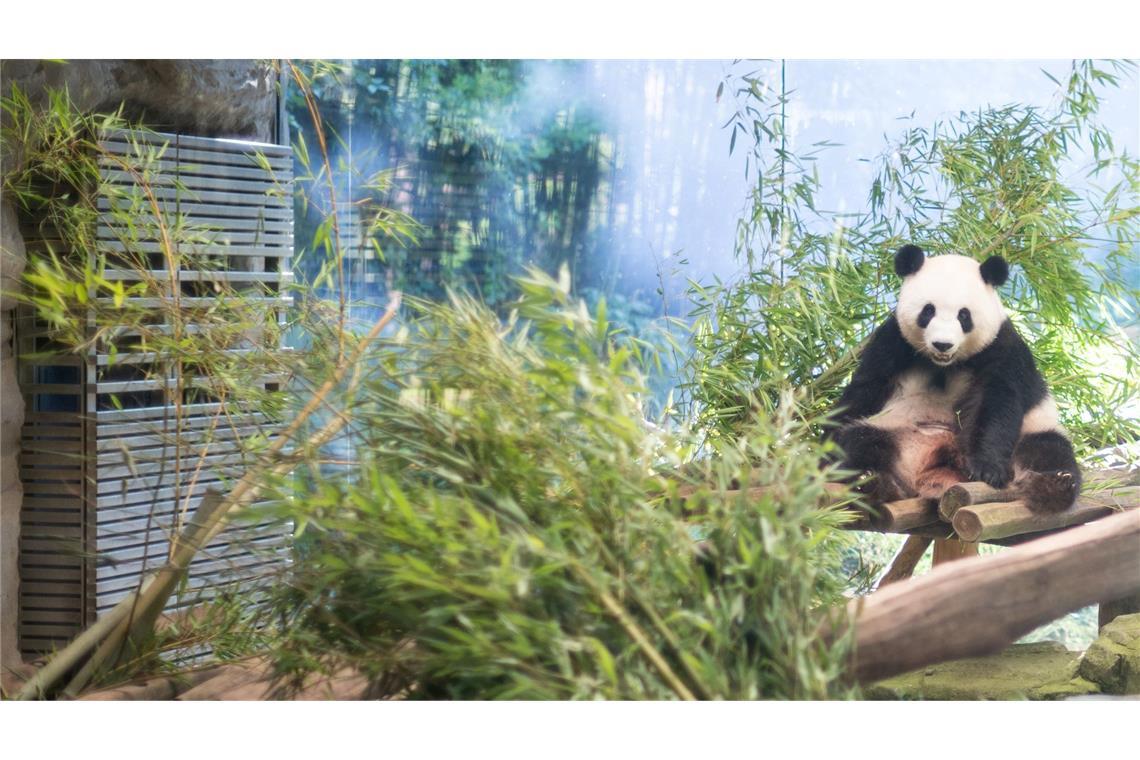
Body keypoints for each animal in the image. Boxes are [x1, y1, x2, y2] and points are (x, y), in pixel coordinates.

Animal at [829, 247, 1076, 515]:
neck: (944, 364)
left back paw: (1055, 486)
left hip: (1033, 431)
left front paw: (988, 470)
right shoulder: (892, 341)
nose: (942, 344)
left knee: (1048, 449)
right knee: (862, 442)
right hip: (894, 431)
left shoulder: (1002, 348)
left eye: (964, 315)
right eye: (928, 311)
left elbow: (997, 404)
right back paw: (872, 482)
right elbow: (865, 389)